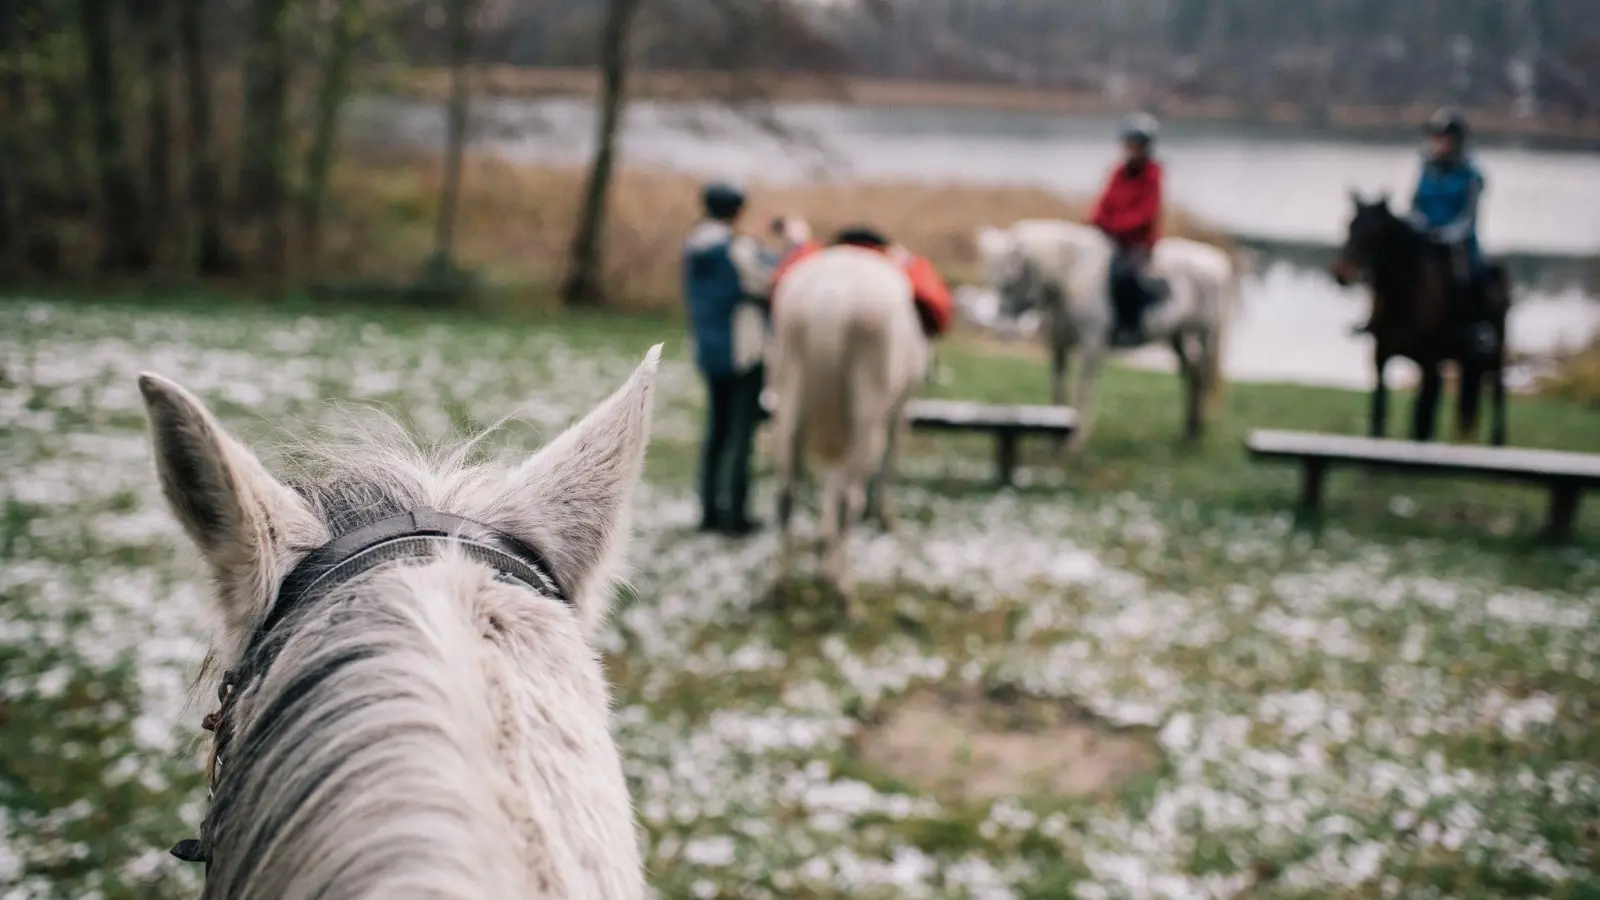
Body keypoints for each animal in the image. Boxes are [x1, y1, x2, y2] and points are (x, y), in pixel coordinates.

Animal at [768, 240, 934, 608]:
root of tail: (830, 300)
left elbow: (830, 480)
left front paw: (822, 552)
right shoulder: (898, 411)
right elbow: (887, 463)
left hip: (790, 392)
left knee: (787, 493)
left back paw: (781, 585)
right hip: (868, 409)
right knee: (849, 500)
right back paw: (845, 594)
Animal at [972, 219, 1235, 448]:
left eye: (1009, 283)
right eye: (995, 284)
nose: (1002, 332)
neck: (1072, 276)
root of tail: (1219, 264)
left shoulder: (1091, 347)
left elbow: (1084, 389)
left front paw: (1076, 441)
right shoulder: (1059, 345)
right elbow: (1058, 385)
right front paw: (1055, 439)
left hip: (1206, 335)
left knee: (1201, 378)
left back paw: (1194, 434)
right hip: (1177, 336)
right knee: (1194, 377)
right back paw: (1190, 434)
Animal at [1331, 190, 1504, 441]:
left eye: (1375, 233)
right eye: (1349, 225)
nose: (1342, 273)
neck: (1403, 298)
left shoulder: (1429, 362)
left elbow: (1421, 420)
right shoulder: (1381, 357)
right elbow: (1379, 416)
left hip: (1496, 353)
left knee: (1498, 393)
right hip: (1463, 360)